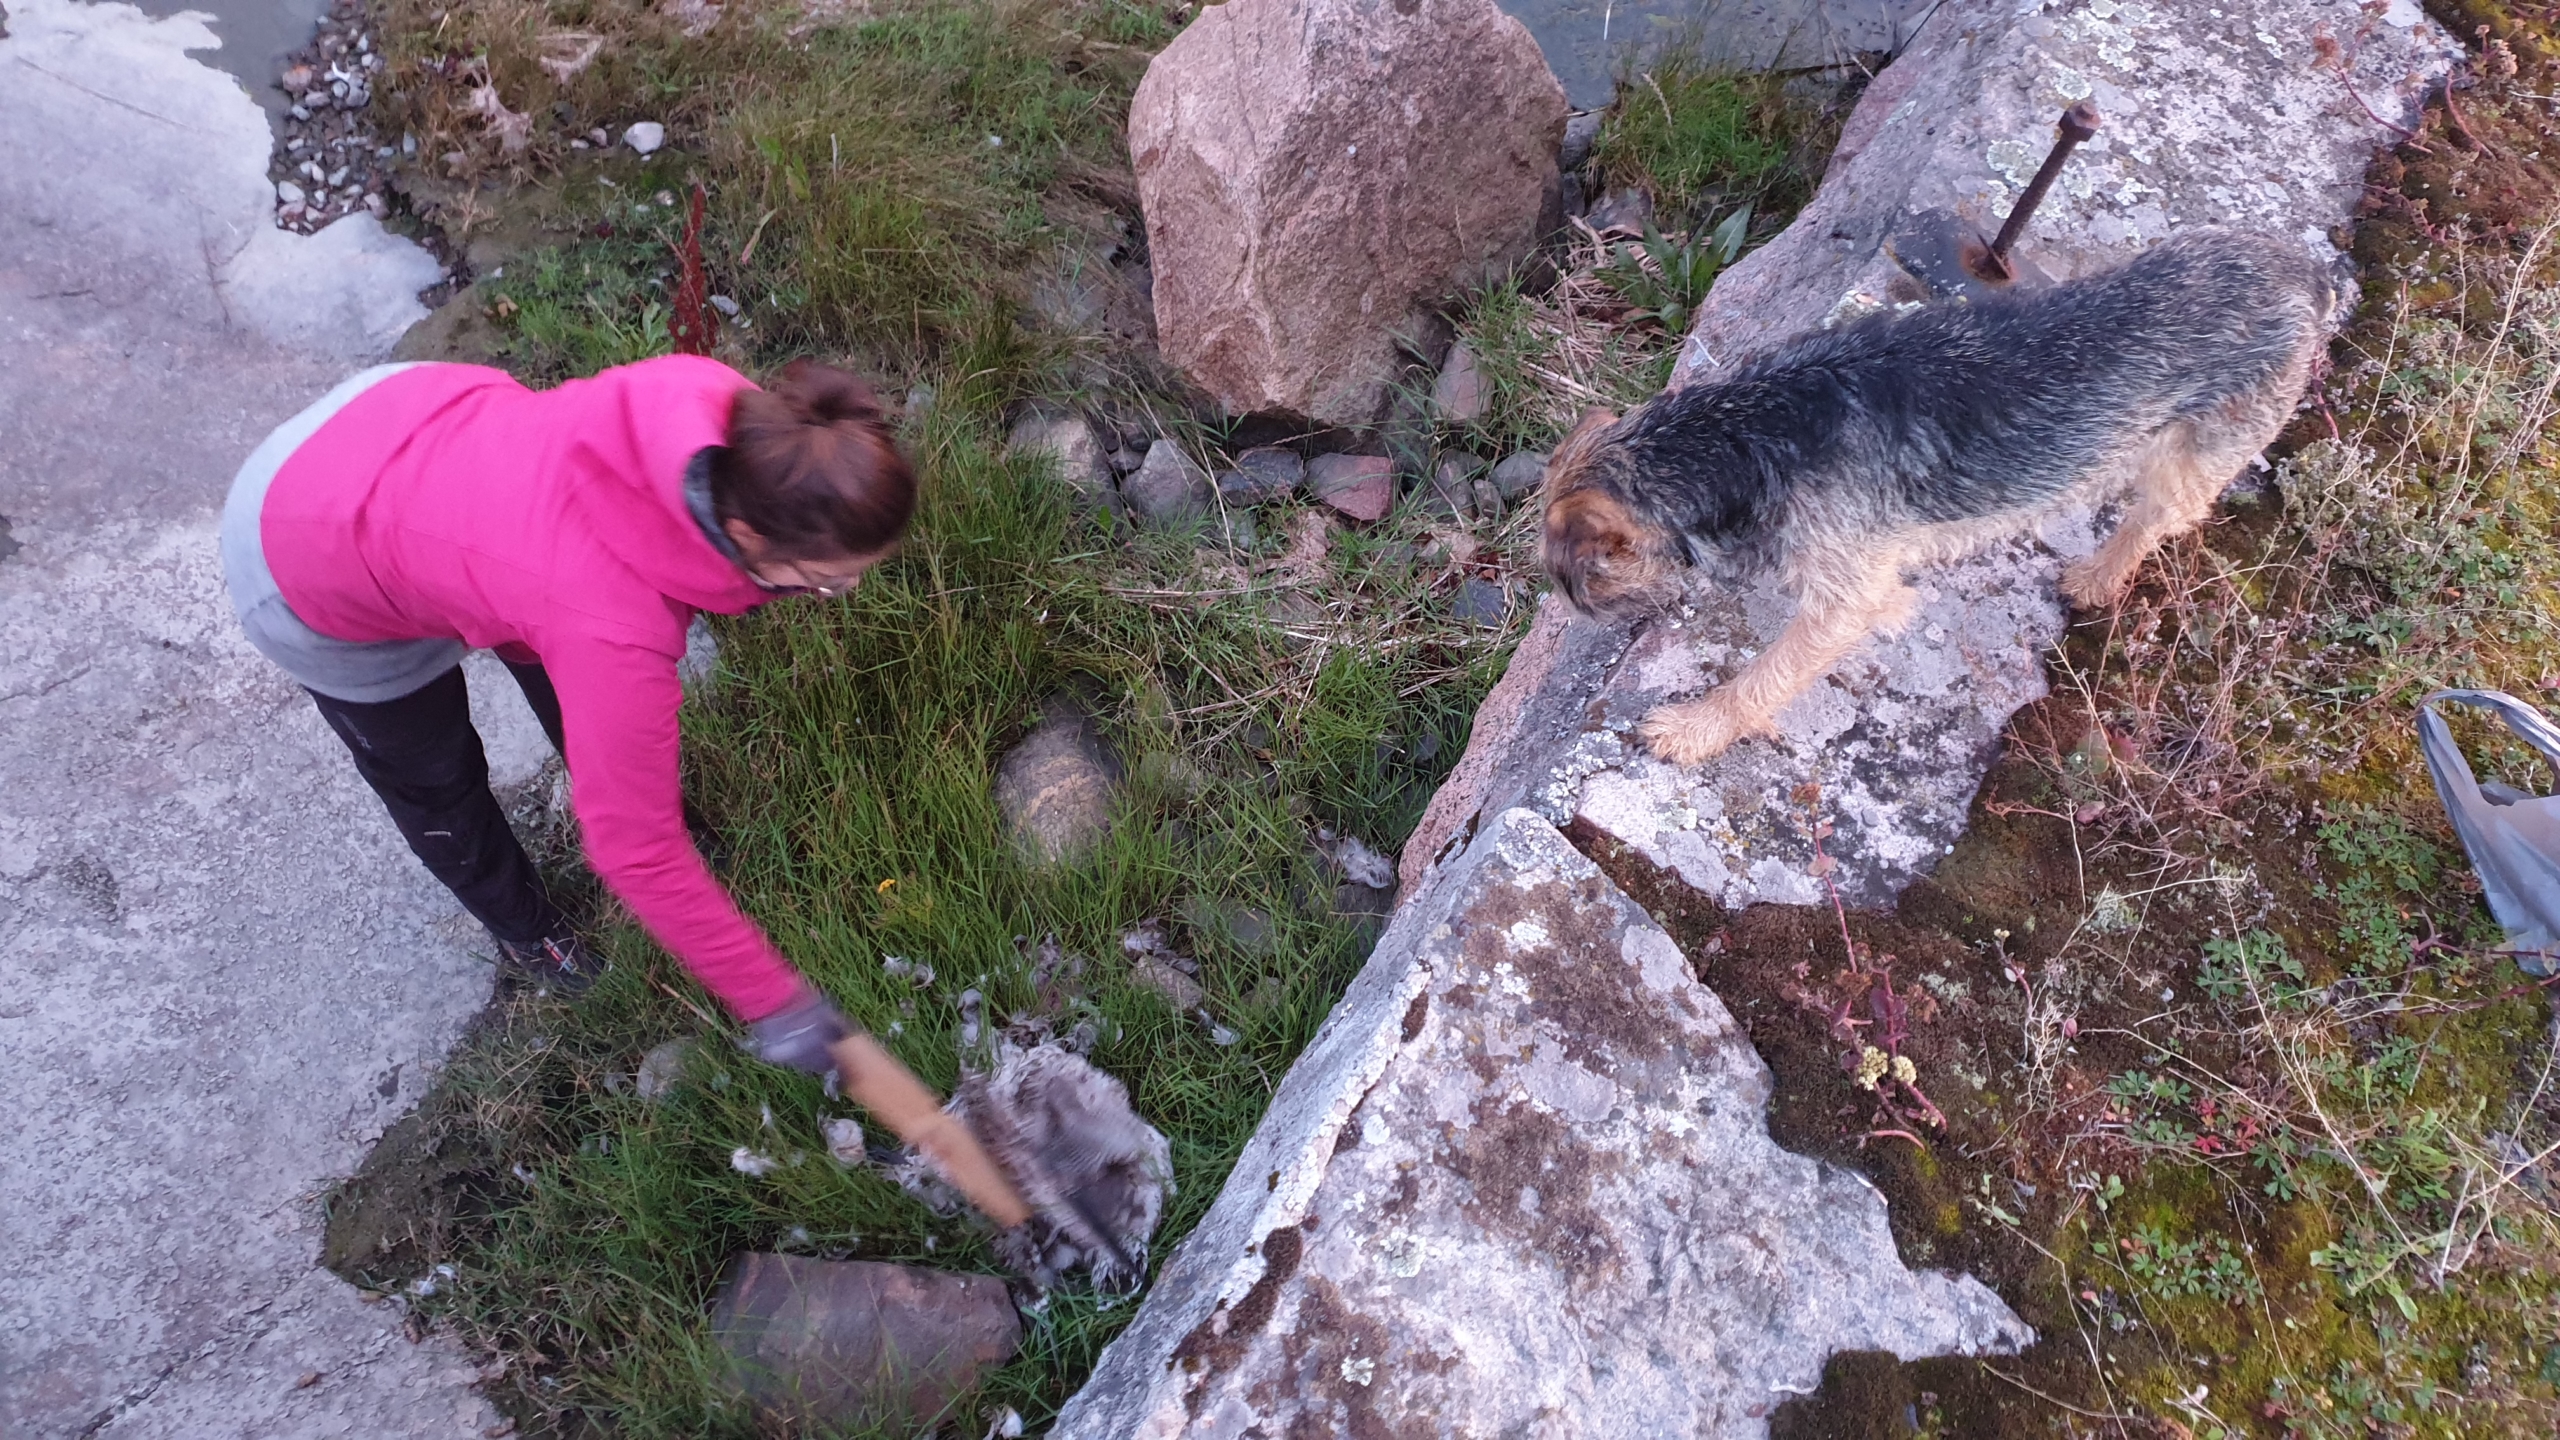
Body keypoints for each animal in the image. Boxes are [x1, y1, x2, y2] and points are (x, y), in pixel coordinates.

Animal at [1536, 226, 2344, 763]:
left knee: (2160, 516)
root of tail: (2305, 271)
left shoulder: (1842, 595)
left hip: (2199, 455)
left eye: (1573, 586)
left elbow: (1768, 674)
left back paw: (2098, 574)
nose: (1571, 621)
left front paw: (1696, 727)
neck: (1749, 429)